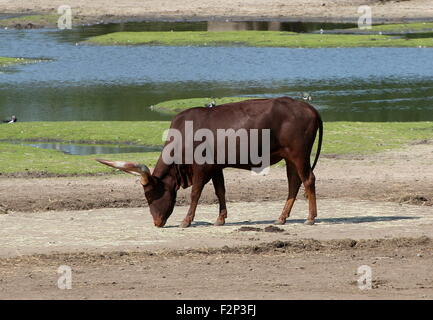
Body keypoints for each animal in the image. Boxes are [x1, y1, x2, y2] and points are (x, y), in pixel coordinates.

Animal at [97, 95, 320, 228]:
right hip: (289, 158)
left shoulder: (202, 168)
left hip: (299, 155)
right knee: (294, 183)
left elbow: (195, 193)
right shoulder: (216, 167)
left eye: (150, 195)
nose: (157, 223)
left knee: (308, 180)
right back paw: (282, 217)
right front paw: (220, 218)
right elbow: (220, 191)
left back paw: (310, 218)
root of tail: (308, 107)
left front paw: (186, 220)